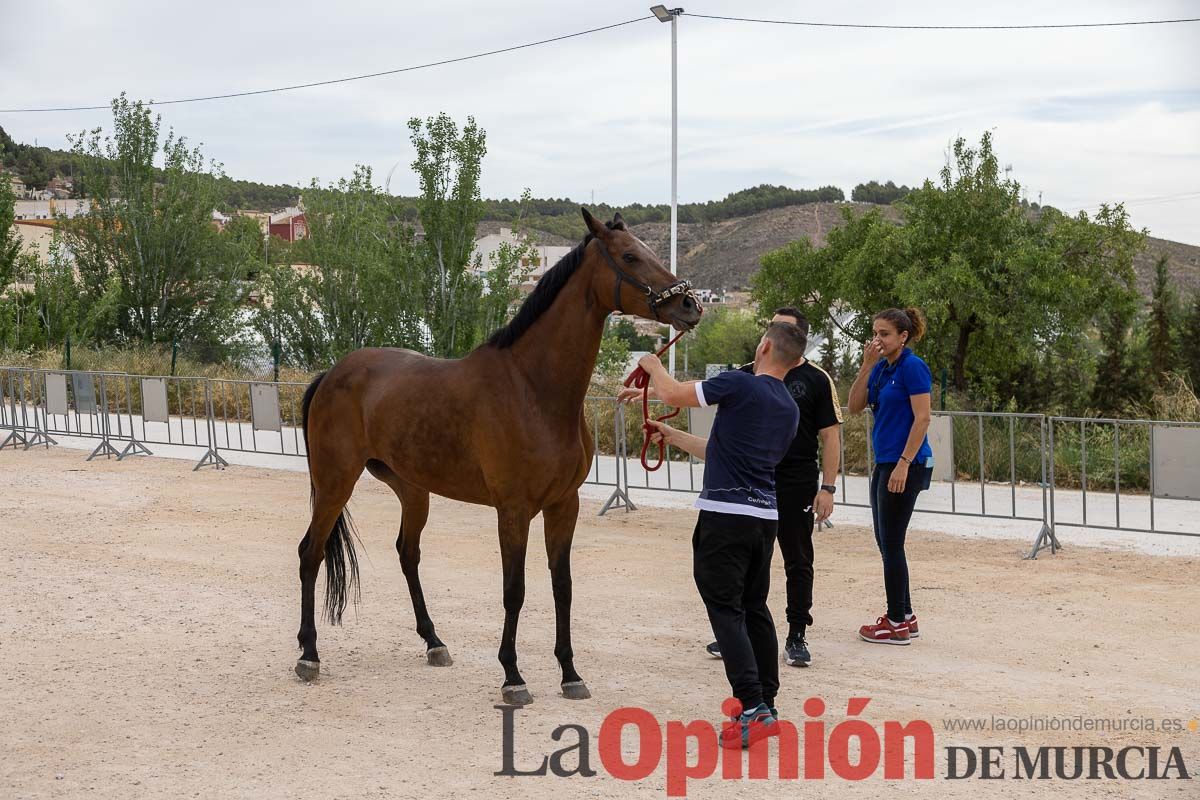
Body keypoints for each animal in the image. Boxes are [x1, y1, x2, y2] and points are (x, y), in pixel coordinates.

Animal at [294, 208, 700, 705]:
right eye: (629, 256)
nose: (691, 306)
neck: (533, 388)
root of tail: (331, 374)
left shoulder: (563, 506)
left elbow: (562, 588)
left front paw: (570, 673)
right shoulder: (514, 510)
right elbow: (515, 590)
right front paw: (513, 676)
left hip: (412, 490)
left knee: (408, 553)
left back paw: (434, 642)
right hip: (336, 483)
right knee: (310, 553)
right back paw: (309, 653)